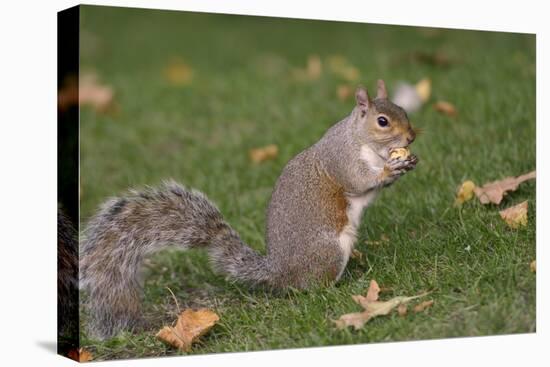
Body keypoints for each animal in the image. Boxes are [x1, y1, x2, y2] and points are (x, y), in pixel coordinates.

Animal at [81, 80, 418, 340]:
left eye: (403, 111)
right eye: (383, 121)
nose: (412, 137)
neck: (361, 140)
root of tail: (280, 273)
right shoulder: (342, 160)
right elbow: (359, 181)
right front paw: (389, 170)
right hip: (328, 251)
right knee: (311, 288)